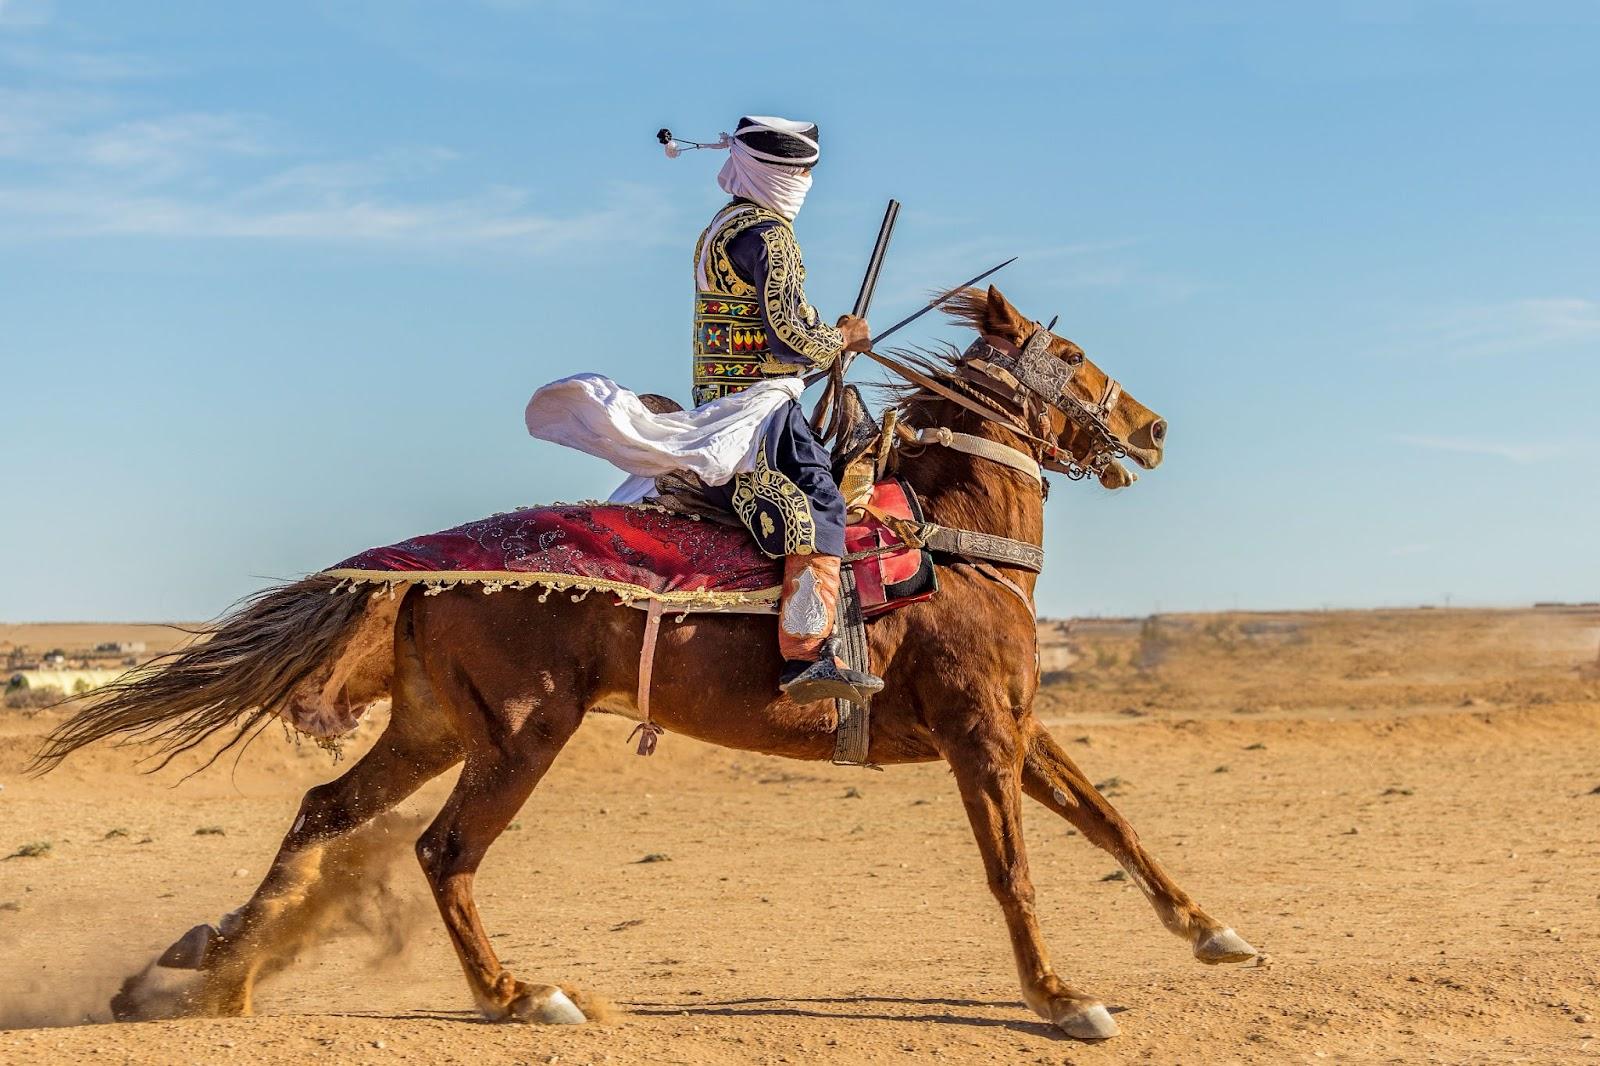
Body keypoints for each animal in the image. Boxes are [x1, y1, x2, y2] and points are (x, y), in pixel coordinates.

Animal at [37, 284, 1254, 1037]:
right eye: (1073, 356)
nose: (1152, 429)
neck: (955, 546)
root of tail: (425, 574)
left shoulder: (1018, 729)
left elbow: (1111, 822)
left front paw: (1213, 934)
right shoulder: (977, 736)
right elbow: (1016, 870)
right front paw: (1061, 999)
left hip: (433, 724)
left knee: (325, 810)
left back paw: (206, 966)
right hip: (522, 731)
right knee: (441, 850)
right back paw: (520, 996)